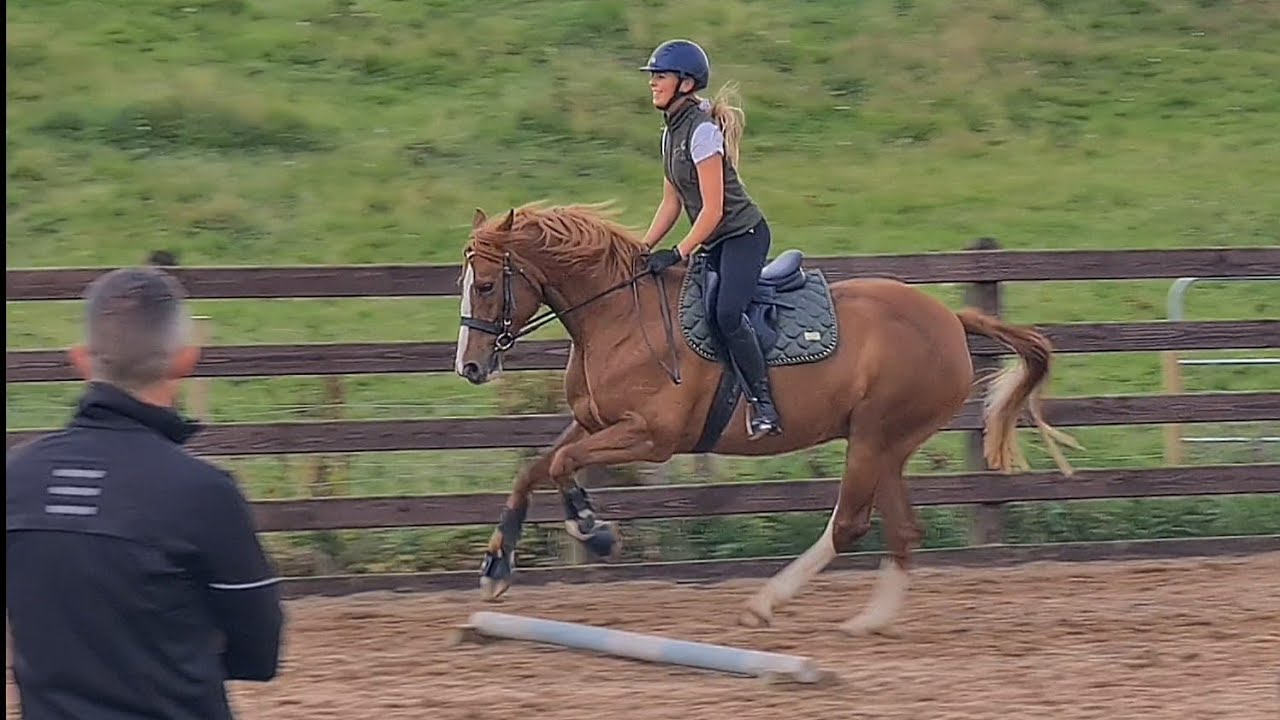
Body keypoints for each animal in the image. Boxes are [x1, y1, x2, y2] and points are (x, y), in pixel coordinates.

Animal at [453, 201, 1079, 634]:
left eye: (484, 285)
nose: (470, 366)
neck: (619, 317)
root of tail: (951, 319)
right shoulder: (595, 422)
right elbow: (534, 469)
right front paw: (495, 570)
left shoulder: (650, 437)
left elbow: (562, 464)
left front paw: (596, 532)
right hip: (885, 446)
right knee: (901, 530)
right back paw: (869, 621)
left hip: (876, 438)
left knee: (849, 524)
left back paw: (766, 604)